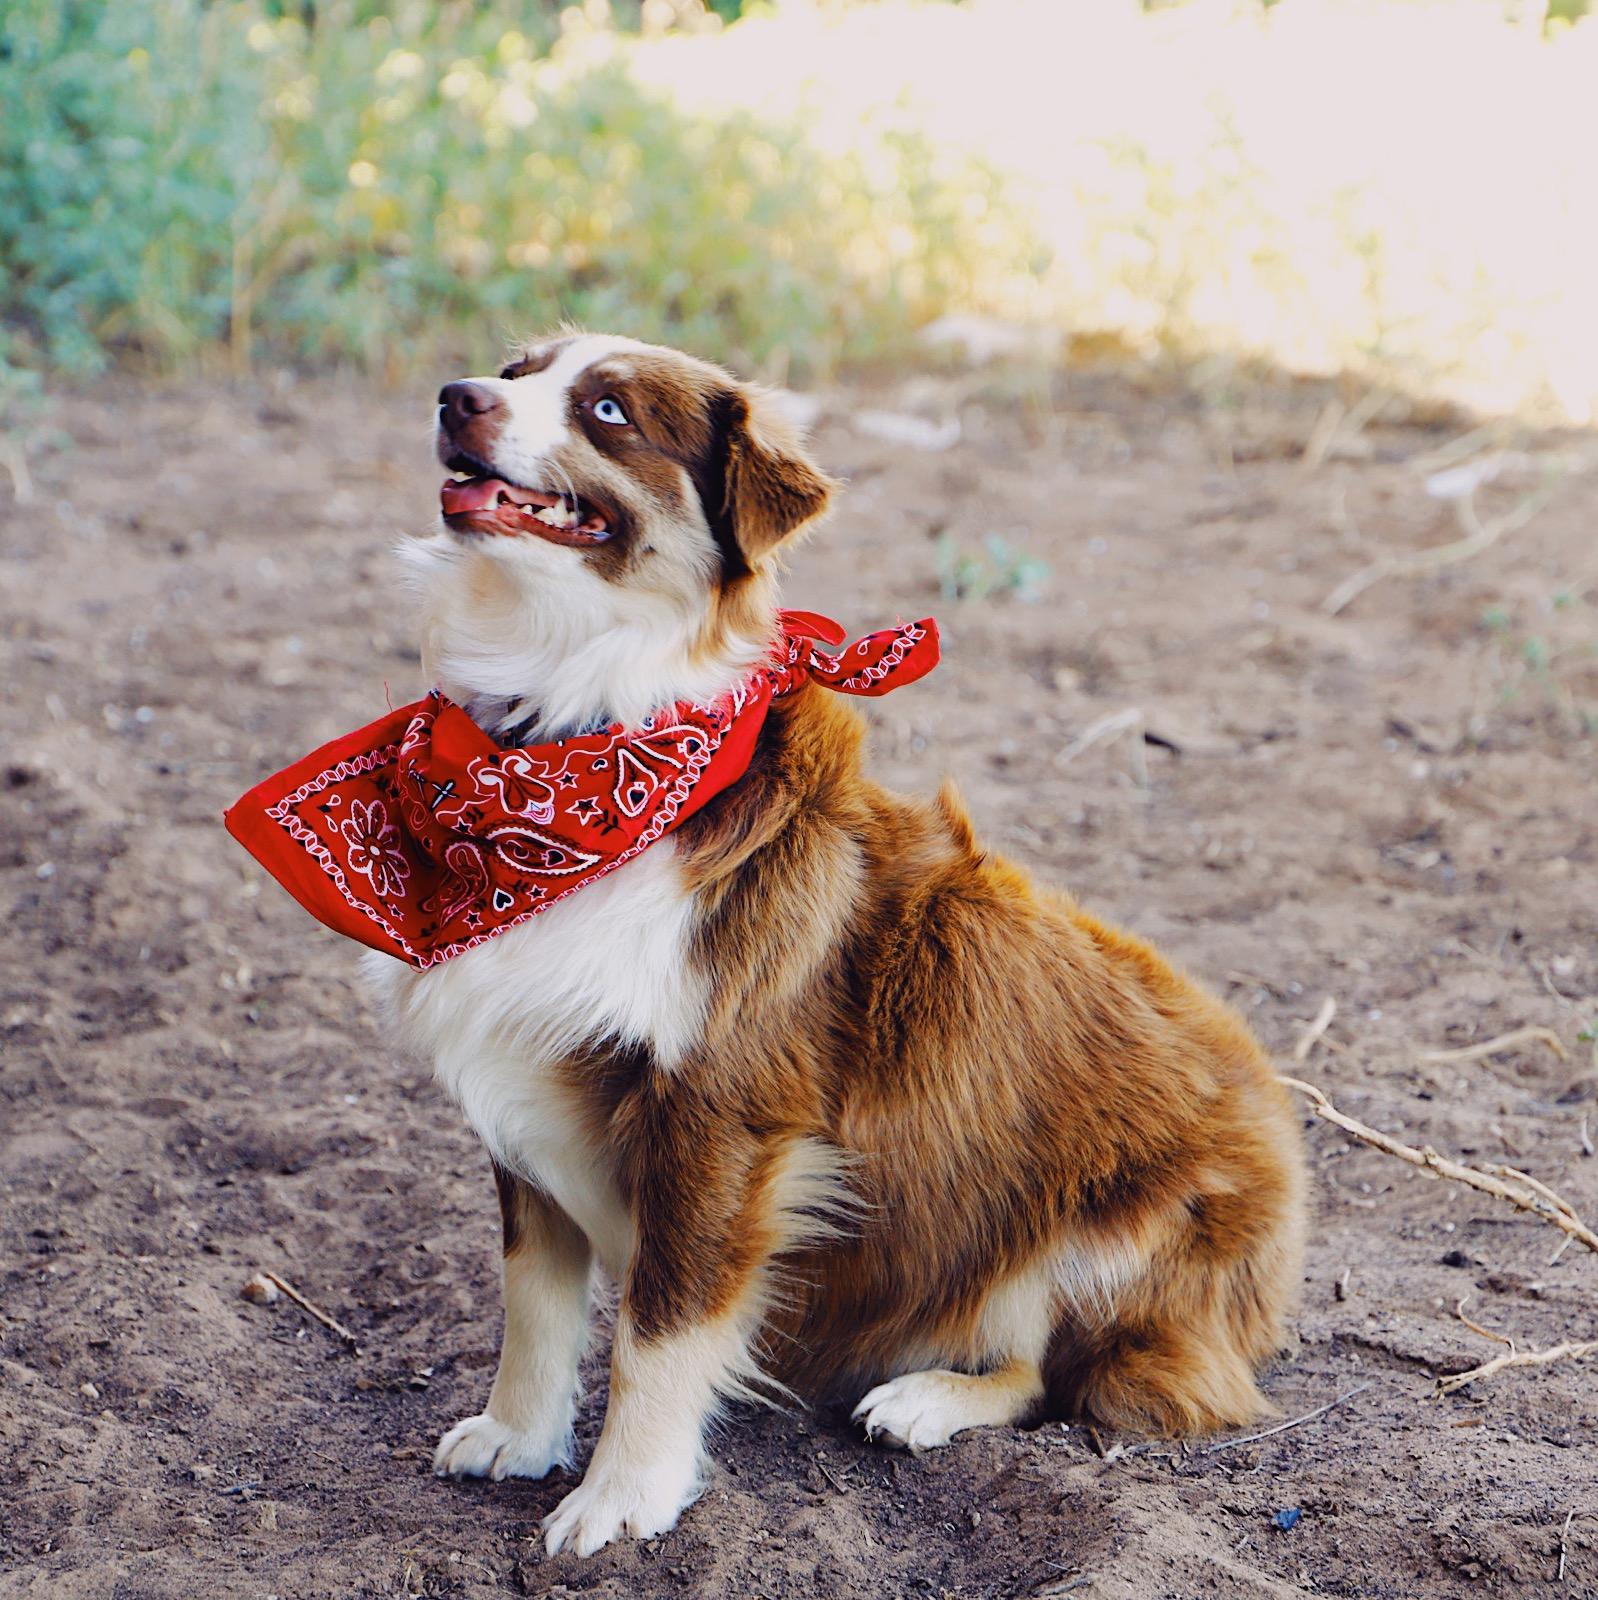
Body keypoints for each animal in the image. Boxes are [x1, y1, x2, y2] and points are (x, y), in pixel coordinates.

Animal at [361, 332, 1307, 1558]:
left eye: (609, 410)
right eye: (516, 367)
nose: (455, 397)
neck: (578, 736)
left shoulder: (721, 1117)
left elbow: (658, 1331)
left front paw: (622, 1497)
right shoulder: (529, 1081)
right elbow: (535, 1297)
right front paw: (519, 1437)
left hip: (1110, 1233)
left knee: (1056, 1371)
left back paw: (926, 1398)